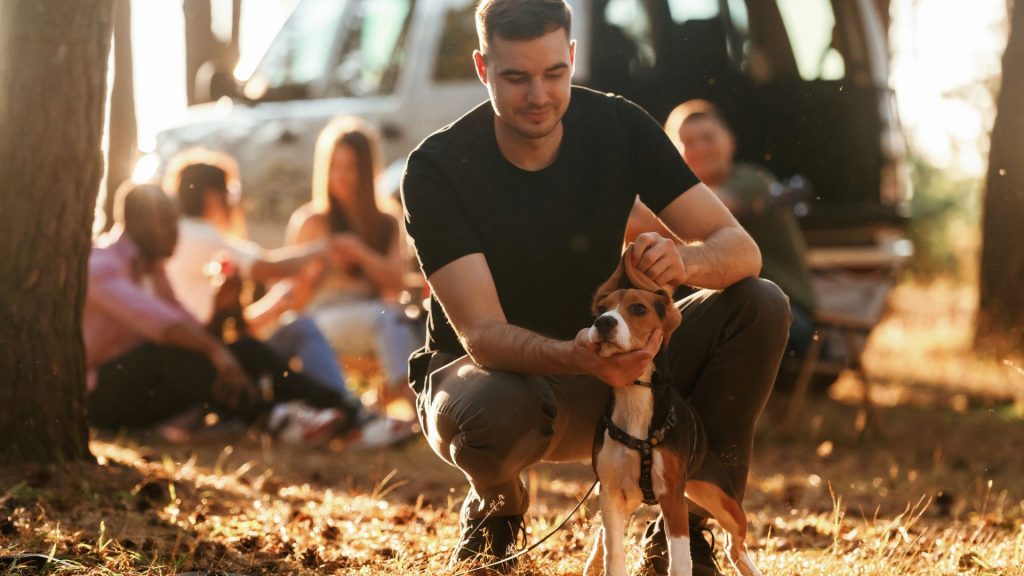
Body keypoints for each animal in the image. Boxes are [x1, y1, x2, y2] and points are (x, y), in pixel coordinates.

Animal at [581, 243, 765, 569]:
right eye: (602, 309)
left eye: (638, 309)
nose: (603, 323)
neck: (634, 396)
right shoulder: (610, 493)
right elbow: (613, 553)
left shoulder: (672, 497)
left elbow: (680, 561)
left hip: (723, 499)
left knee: (736, 543)